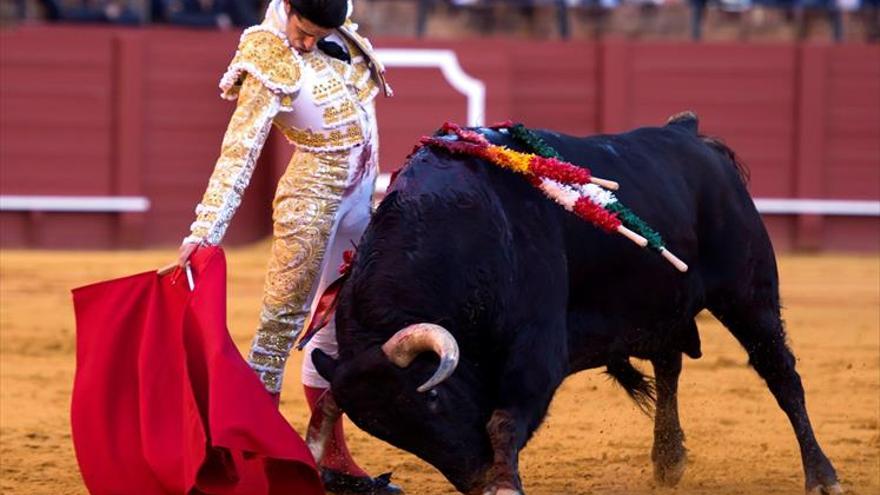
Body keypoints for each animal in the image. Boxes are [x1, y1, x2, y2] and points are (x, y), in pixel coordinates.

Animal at [308, 114, 840, 494]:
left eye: (433, 399)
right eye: (391, 433)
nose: (476, 479)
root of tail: (691, 135)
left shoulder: (537, 348)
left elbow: (504, 420)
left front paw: (505, 485)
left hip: (748, 294)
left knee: (781, 373)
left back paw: (822, 476)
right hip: (660, 308)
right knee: (669, 367)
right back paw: (668, 460)